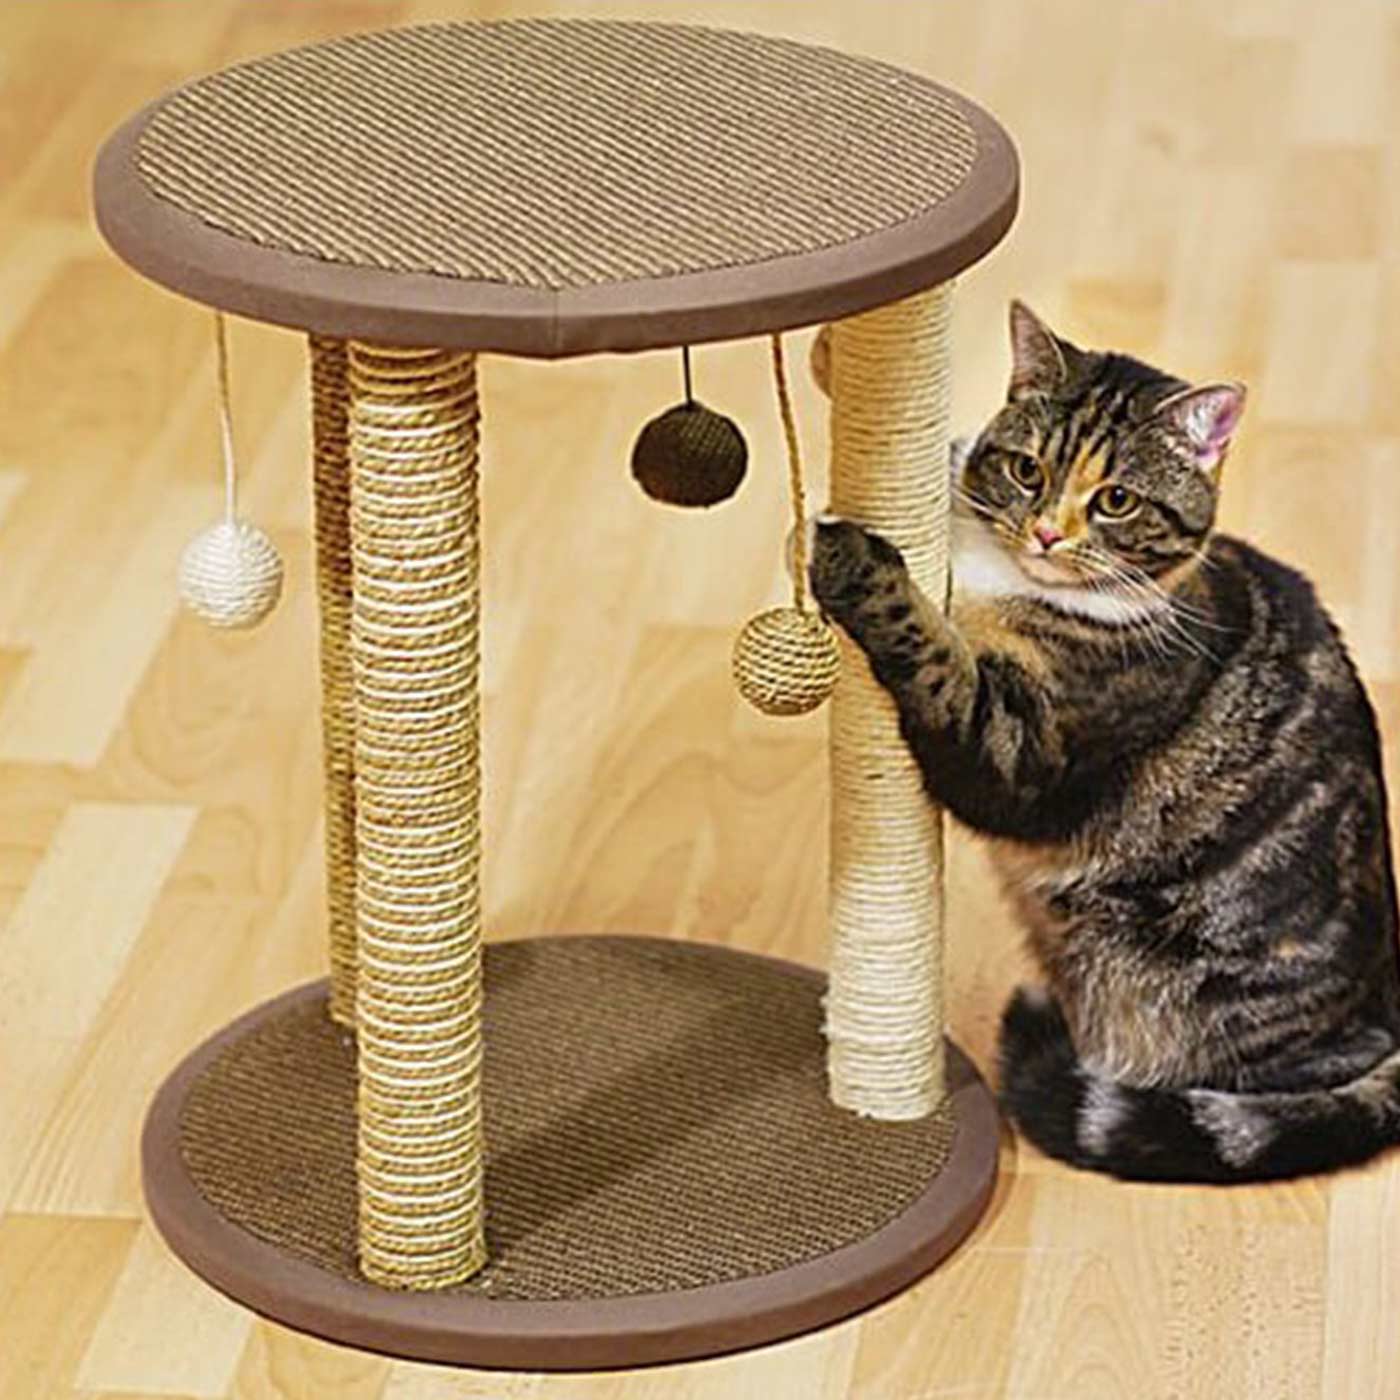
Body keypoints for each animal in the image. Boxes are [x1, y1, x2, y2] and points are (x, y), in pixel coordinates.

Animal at [807, 302, 1400, 1182]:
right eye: (1027, 471)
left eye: (1117, 499)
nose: (1048, 534)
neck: (1005, 578)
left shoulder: (1020, 754)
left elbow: (937, 658)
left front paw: (854, 558)